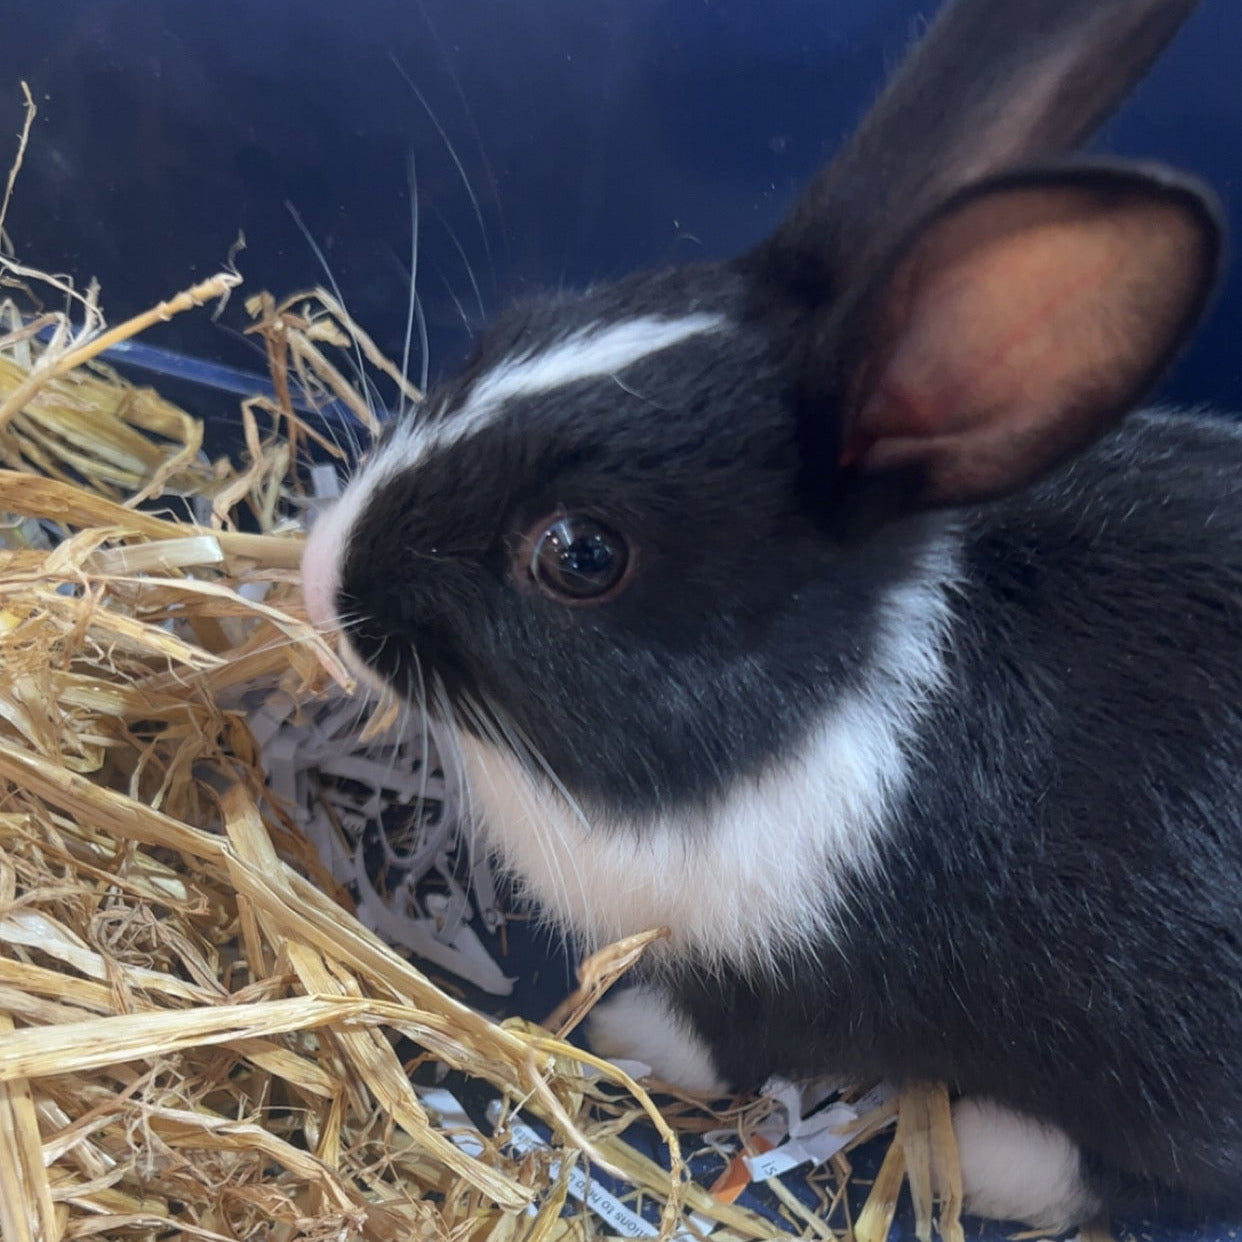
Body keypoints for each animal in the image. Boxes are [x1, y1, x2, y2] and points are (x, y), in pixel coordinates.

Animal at [301, 0, 1242, 1230]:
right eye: (512, 325)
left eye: (582, 554)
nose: (319, 572)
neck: (804, 693)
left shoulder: (781, 973)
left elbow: (718, 1040)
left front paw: (615, 1030)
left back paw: (991, 1153)